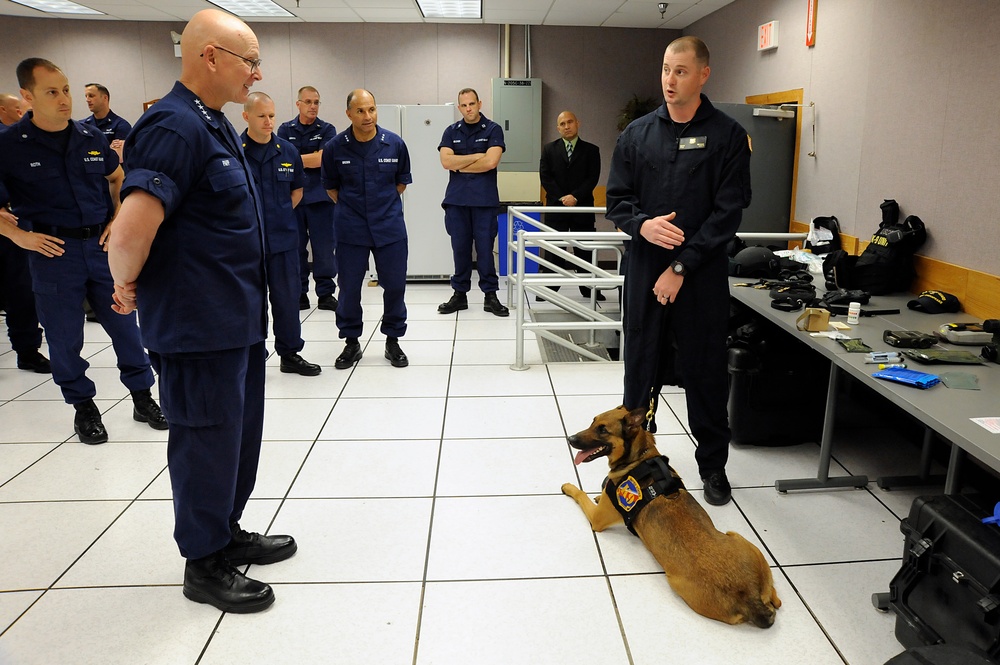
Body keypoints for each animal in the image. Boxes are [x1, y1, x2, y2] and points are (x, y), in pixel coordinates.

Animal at [564, 404, 780, 628]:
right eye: (593, 422)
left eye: (603, 430)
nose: (570, 439)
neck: (639, 457)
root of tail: (751, 599)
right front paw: (598, 494)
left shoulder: (597, 519)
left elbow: (580, 494)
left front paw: (570, 487)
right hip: (743, 542)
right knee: (775, 596)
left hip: (682, 578)